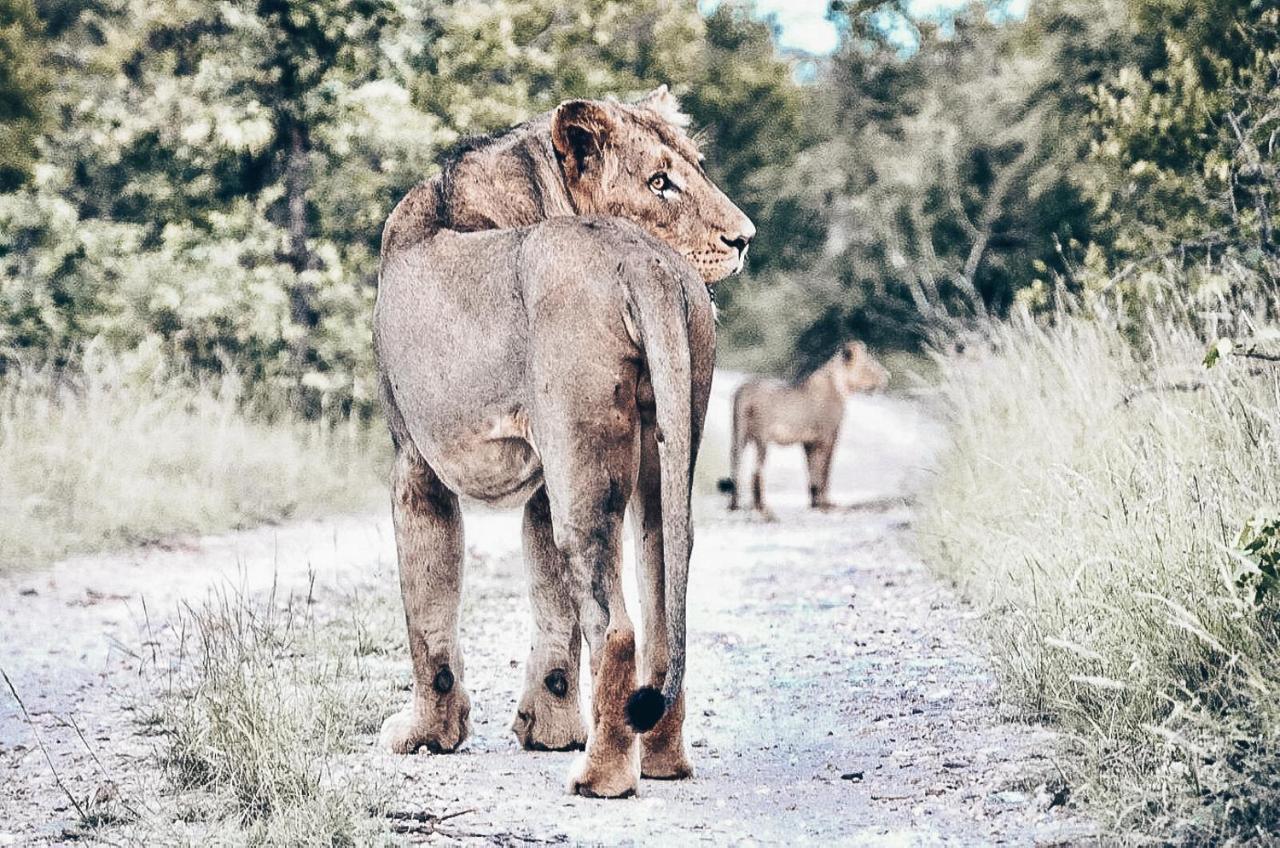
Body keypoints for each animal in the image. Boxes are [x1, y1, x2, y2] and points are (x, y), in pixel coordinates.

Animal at [371, 84, 752, 799]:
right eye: (661, 180)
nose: (745, 239)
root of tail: (644, 261)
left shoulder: (415, 464)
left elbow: (428, 617)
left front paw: (429, 734)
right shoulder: (549, 478)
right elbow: (553, 610)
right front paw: (548, 729)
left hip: (585, 482)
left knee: (618, 629)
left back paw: (602, 776)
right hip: (657, 463)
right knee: (663, 617)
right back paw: (660, 759)